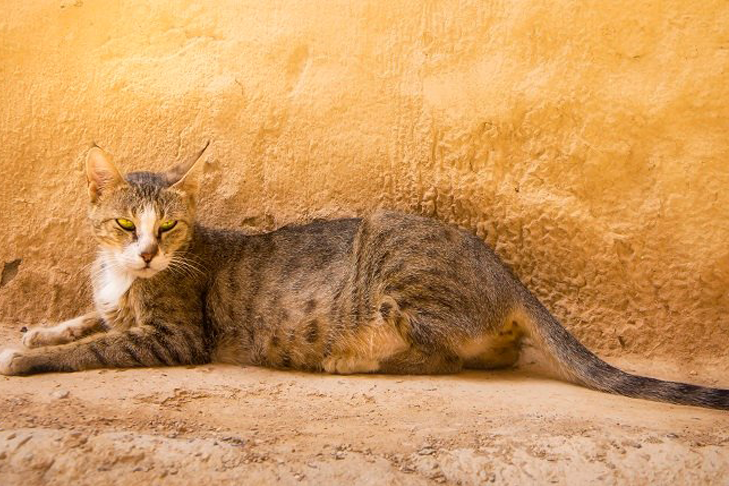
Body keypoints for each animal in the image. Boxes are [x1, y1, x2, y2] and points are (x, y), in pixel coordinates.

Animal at [1, 145, 728, 410]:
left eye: (170, 227)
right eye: (127, 225)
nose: (149, 254)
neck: (122, 277)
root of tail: (504, 271)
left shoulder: (176, 336)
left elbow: (97, 345)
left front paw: (28, 361)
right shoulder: (115, 303)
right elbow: (86, 319)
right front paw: (37, 332)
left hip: (390, 266)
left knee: (449, 358)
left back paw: (352, 361)